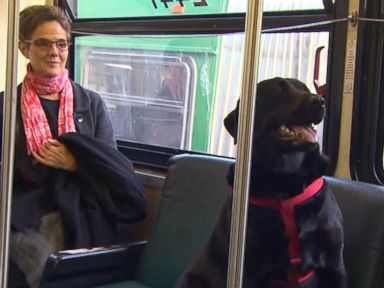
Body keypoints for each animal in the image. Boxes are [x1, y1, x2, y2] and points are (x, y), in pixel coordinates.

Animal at [176, 77, 346, 288]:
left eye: (306, 89)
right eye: (278, 90)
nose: (319, 101)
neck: (285, 182)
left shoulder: (335, 264)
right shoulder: (250, 270)